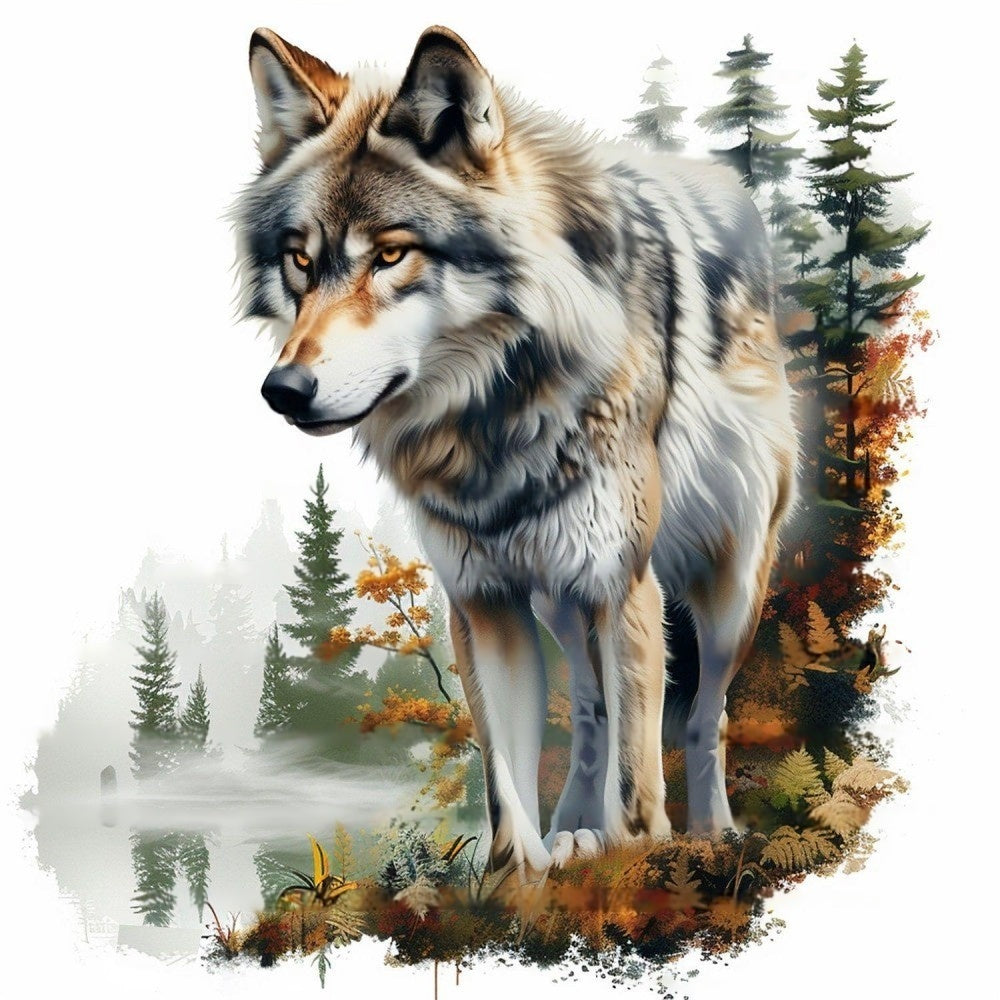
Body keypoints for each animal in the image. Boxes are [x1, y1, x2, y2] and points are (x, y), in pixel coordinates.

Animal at [233, 25, 797, 876]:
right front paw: (520, 876)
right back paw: (577, 831)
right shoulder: (483, 599)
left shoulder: (623, 586)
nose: (284, 389)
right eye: (301, 259)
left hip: (727, 592)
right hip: (559, 602)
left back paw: (711, 835)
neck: (489, 423)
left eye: (391, 255)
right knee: (592, 711)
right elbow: (505, 779)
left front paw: (637, 862)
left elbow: (640, 771)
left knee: (704, 718)